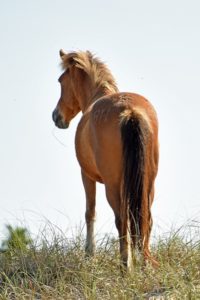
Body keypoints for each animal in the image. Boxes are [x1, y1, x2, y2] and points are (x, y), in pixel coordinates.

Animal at [52, 49, 159, 270]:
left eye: (60, 81)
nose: (56, 116)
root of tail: (129, 111)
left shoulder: (86, 176)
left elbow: (90, 212)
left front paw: (89, 254)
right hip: (148, 183)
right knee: (145, 219)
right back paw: (145, 264)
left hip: (113, 185)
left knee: (122, 221)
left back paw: (125, 266)